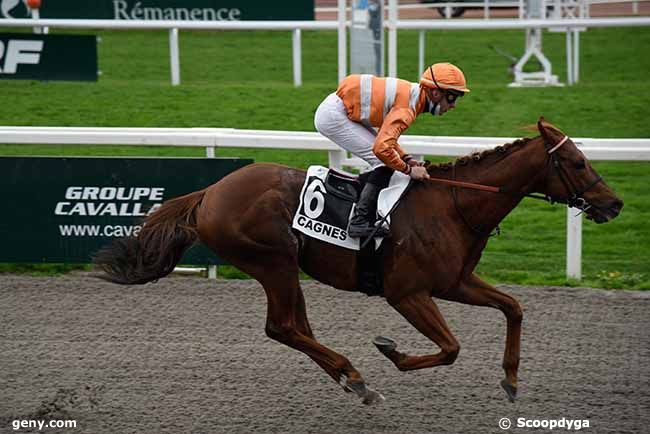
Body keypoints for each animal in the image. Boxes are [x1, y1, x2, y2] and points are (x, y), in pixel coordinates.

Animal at [93, 118, 620, 404]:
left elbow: (513, 307)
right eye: (577, 162)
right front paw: (392, 351)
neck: (454, 206)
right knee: (282, 327)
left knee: (296, 327)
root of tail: (211, 191)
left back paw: (352, 380)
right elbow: (450, 348)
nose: (613, 205)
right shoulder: (406, 294)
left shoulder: (455, 283)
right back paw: (355, 373)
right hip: (273, 262)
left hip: (287, 269)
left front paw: (510, 380)